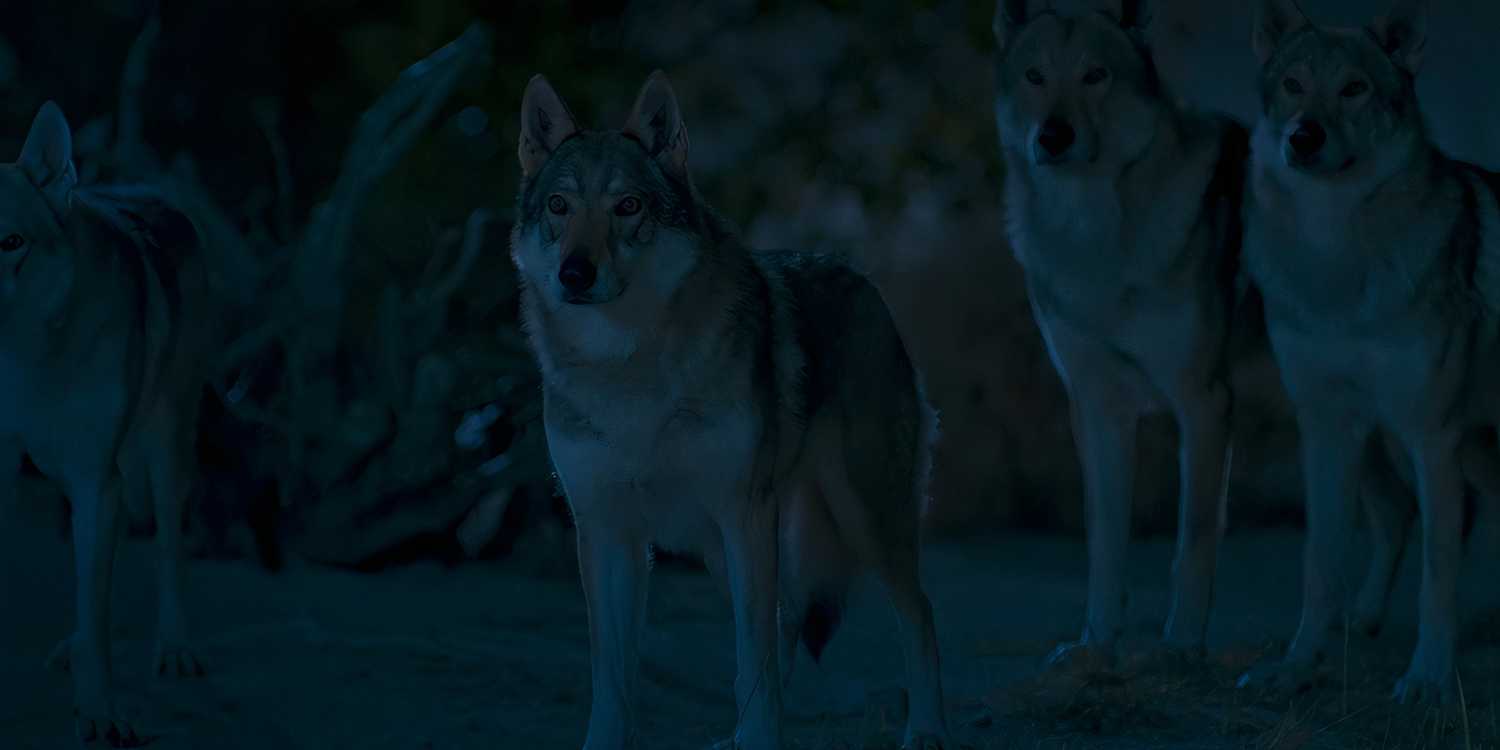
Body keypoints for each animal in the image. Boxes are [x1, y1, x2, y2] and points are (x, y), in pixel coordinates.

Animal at [0, 102, 211, 744]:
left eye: (11, 242)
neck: (28, 359)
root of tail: (147, 191)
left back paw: (175, 649)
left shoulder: (99, 481)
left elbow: (97, 607)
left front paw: (99, 713)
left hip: (166, 455)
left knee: (167, 553)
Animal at [510, 72, 951, 750]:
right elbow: (612, 675)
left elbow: (752, 656)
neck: (626, 365)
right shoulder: (607, 532)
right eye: (559, 207)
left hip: (860, 518)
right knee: (789, 619)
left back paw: (924, 729)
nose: (574, 273)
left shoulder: (743, 514)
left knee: (915, 615)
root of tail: (860, 275)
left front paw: (764, 738)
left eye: (627, 207)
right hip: (720, 546)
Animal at [993, 0, 1249, 670]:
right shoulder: (1097, 409)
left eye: (1095, 75)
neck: (1095, 238)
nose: (1052, 136)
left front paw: (1183, 646)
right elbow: (1104, 546)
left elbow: (1193, 543)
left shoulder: (1204, 403)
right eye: (1034, 76)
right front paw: (1095, 645)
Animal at [1240, 0, 1500, 704]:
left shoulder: (1433, 436)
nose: (1303, 136)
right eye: (1294, 84)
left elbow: (1438, 575)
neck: (1337, 258)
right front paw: (1298, 665)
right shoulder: (1327, 428)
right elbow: (1319, 566)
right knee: (1400, 514)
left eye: (1354, 89)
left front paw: (1428, 678)